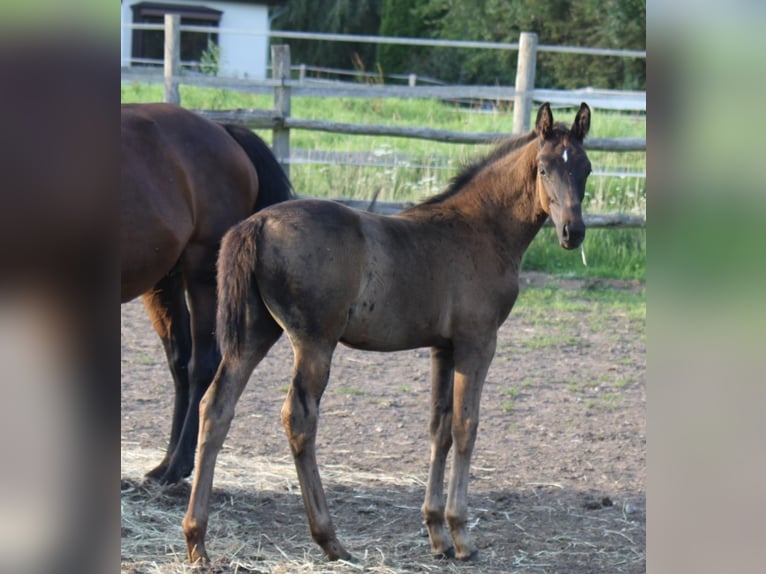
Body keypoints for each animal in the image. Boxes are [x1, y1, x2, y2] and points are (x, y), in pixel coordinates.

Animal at [121, 103, 292, 486]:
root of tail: (222, 130)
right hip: (164, 281)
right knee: (180, 363)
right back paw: (168, 463)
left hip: (202, 274)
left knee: (202, 364)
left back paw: (177, 466)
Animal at [182, 102, 592, 564]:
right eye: (543, 168)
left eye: (586, 168)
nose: (572, 232)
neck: (480, 229)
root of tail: (258, 224)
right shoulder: (477, 342)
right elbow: (466, 426)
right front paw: (461, 535)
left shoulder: (442, 348)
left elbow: (439, 428)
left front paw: (436, 533)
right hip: (314, 342)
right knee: (299, 418)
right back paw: (329, 538)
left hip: (255, 333)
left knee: (216, 406)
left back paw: (197, 540)